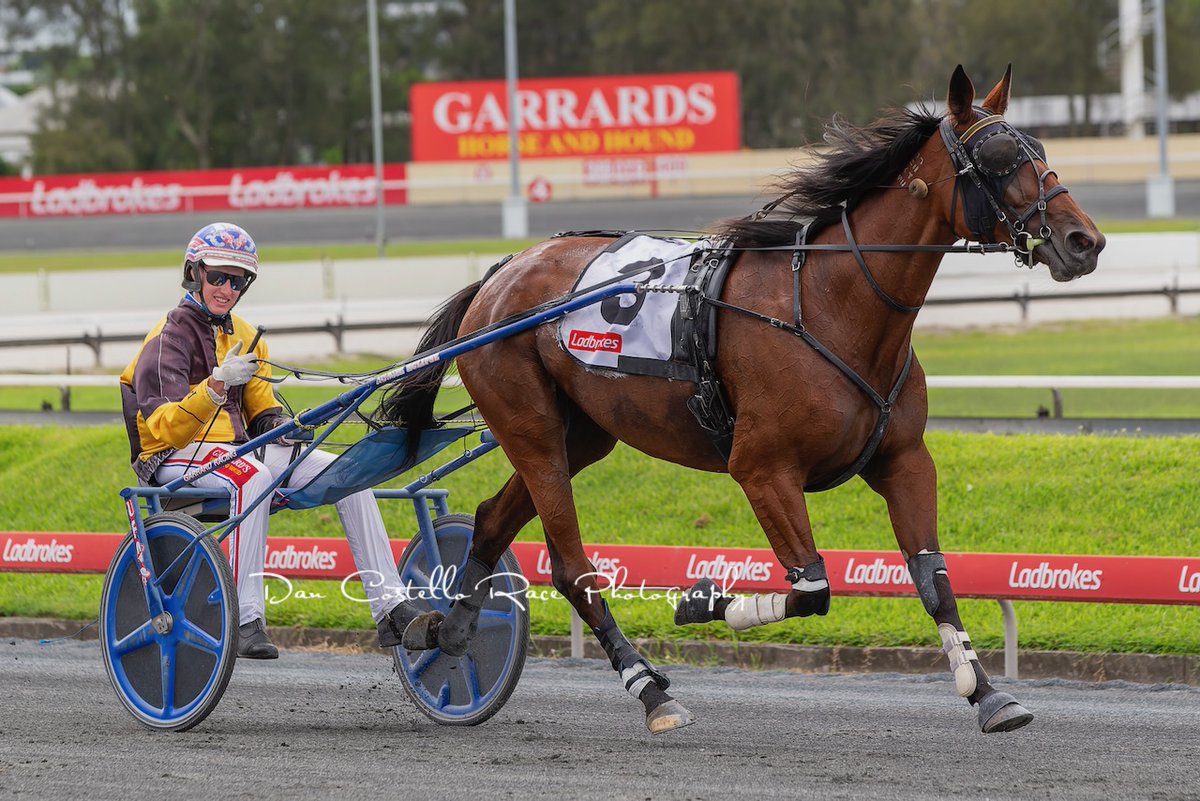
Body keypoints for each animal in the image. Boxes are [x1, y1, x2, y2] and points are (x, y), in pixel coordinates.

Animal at [379, 65, 1099, 733]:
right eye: (1000, 158)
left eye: (1040, 147)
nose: (1084, 240)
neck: (834, 303)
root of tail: (501, 274)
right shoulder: (763, 468)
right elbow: (811, 588)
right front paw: (700, 601)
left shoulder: (903, 460)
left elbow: (934, 580)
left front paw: (988, 693)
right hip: (529, 428)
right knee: (571, 567)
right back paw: (650, 690)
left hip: (578, 434)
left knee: (491, 521)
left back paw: (444, 633)